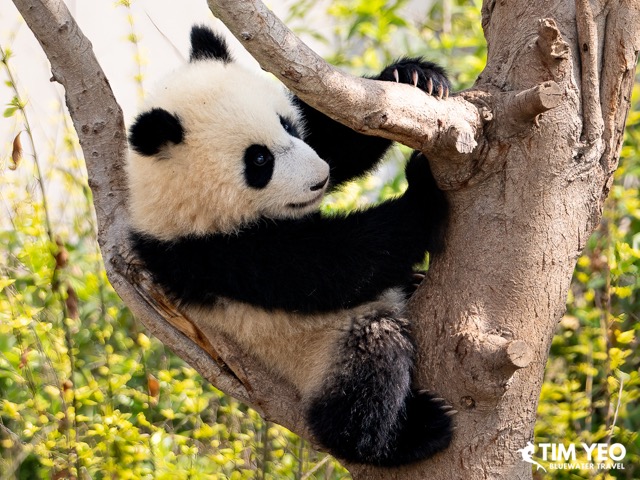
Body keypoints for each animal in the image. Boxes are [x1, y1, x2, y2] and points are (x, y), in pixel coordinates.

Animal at [127, 25, 453, 467]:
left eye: (288, 126)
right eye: (259, 160)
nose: (320, 179)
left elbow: (336, 137)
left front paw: (413, 76)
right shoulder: (216, 255)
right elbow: (333, 268)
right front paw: (422, 189)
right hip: (316, 350)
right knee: (370, 360)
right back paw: (406, 435)